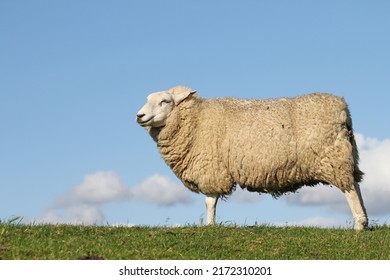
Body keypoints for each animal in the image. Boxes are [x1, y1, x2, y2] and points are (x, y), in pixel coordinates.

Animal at [136, 85, 368, 230]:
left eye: (164, 101)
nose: (139, 116)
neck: (196, 119)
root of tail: (342, 108)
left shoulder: (211, 168)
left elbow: (209, 201)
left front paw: (209, 226)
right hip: (347, 156)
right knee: (356, 185)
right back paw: (365, 222)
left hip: (333, 158)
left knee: (349, 190)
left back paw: (359, 224)